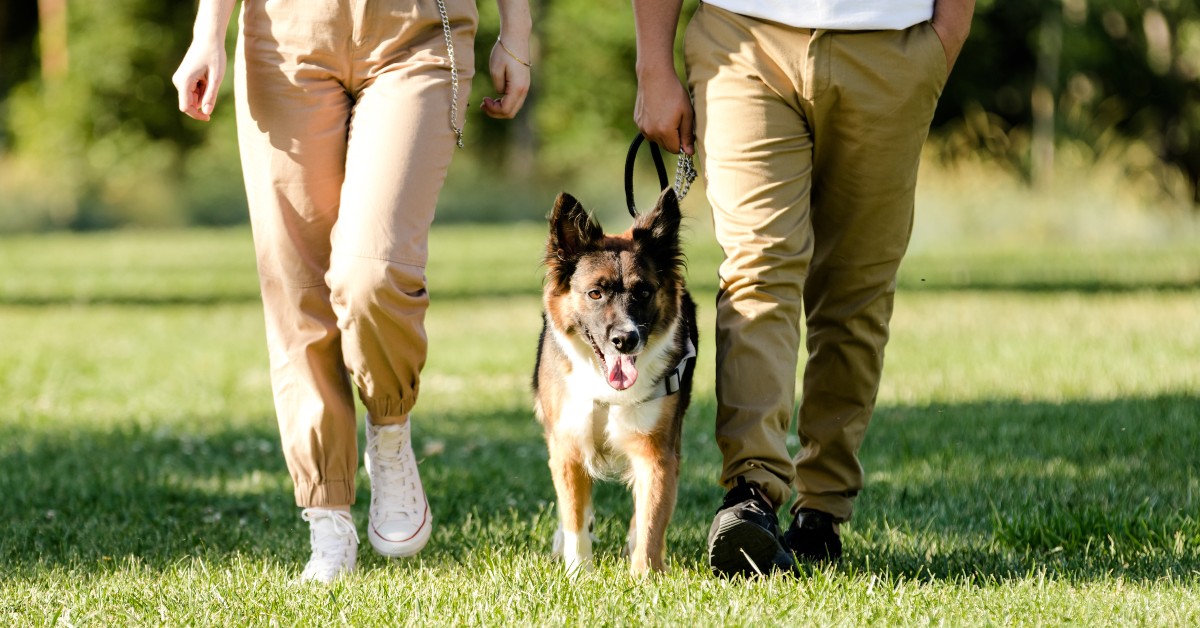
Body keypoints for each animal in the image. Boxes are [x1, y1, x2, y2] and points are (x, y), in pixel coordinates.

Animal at [532, 187, 700, 573]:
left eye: (644, 291)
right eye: (596, 293)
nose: (625, 339)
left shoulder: (656, 451)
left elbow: (651, 518)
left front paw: (644, 576)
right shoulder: (567, 445)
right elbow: (575, 516)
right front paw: (579, 573)